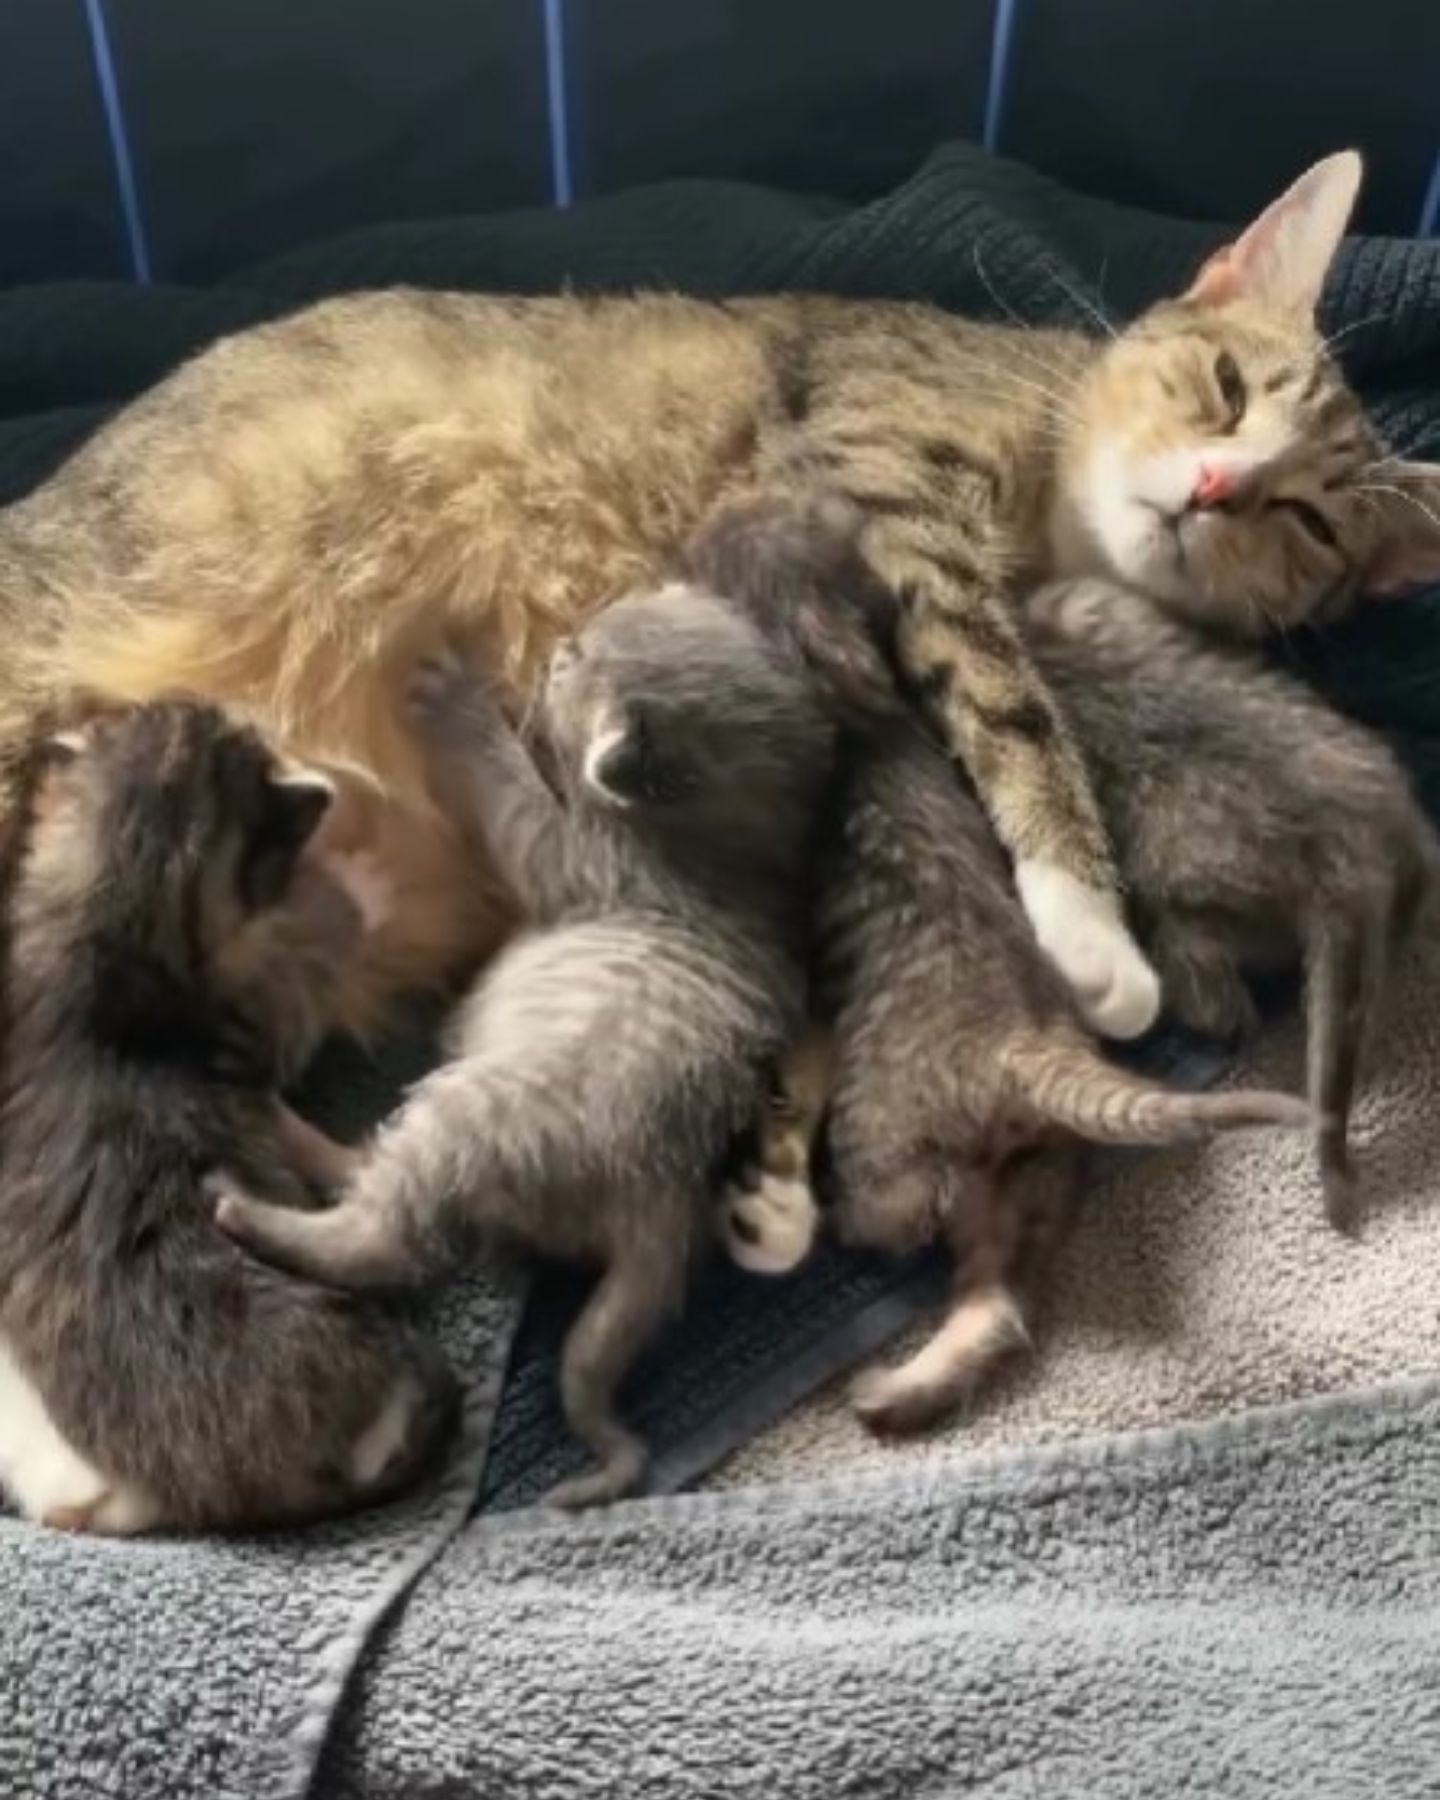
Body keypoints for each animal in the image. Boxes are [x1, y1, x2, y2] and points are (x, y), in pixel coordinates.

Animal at [2, 151, 1440, 1044]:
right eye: (1227, 388)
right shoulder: (888, 492)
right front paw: (1094, 925)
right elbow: (1012, 710)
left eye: (1310, 518)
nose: (1216, 487)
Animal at [219, 586, 838, 1504]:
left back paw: (258, 1190)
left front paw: (459, 704)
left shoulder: (572, 858)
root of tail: (657, 1200)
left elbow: (511, 793)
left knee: (388, 1238)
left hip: (472, 1109)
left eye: (574, 657)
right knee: (378, 1175)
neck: (735, 843)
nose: (549, 649)